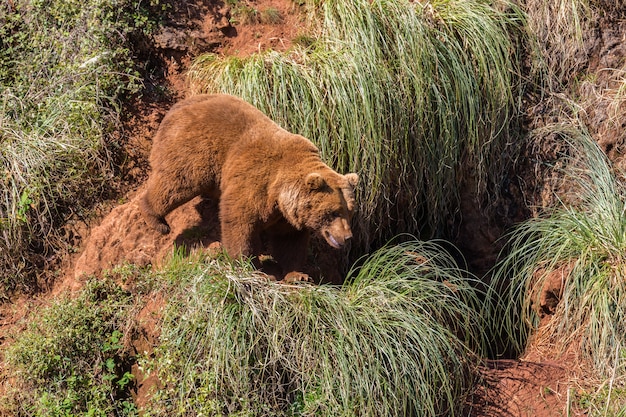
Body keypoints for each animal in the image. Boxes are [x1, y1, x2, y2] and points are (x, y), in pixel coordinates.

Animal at [140, 95, 358, 280]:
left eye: (350, 211)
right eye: (333, 212)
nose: (347, 237)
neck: (280, 193)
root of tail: (177, 106)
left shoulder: (286, 215)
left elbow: (289, 241)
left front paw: (298, 274)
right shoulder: (256, 182)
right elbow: (240, 222)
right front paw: (252, 267)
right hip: (195, 151)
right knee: (175, 183)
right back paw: (157, 220)